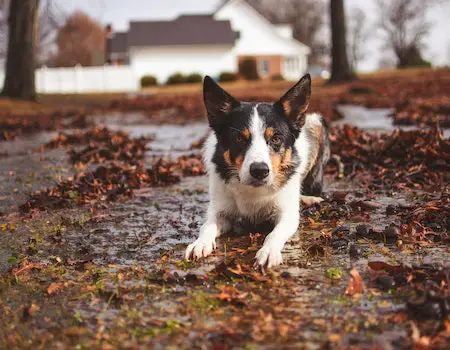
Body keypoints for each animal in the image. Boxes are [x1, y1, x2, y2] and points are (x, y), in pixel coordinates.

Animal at [185, 74, 328, 268]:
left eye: (275, 138)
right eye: (239, 138)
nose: (259, 171)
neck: (253, 191)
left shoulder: (287, 215)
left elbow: (274, 234)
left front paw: (268, 251)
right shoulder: (219, 211)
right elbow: (207, 226)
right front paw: (200, 243)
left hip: (316, 123)